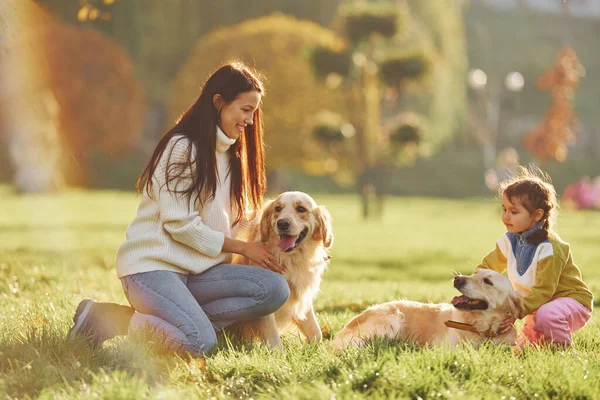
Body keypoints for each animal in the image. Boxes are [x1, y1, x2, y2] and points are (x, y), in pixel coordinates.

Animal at [232, 191, 332, 346]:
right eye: (278, 209)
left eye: (301, 209)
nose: (282, 223)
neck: (291, 260)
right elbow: (273, 337)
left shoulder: (302, 297)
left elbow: (316, 332)